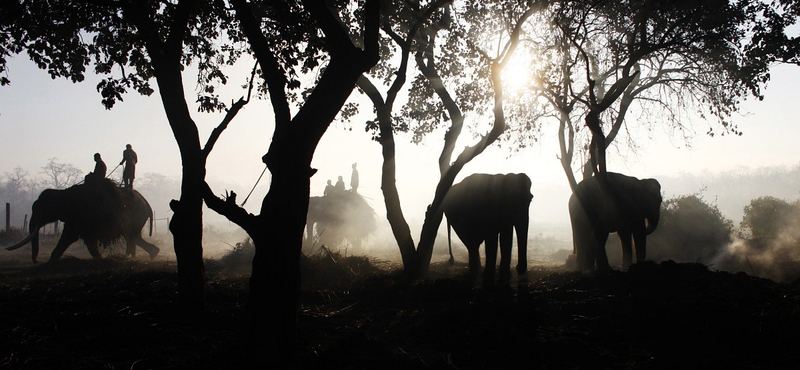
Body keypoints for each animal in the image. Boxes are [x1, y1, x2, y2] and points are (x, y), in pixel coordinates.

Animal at [6, 178, 159, 264]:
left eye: (40, 209)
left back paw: (129, 257)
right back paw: (151, 254)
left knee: (131, 236)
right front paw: (100, 258)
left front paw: (49, 262)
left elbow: (70, 237)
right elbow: (85, 239)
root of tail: (148, 205)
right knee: (134, 237)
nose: (36, 261)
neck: (62, 192)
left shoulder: (78, 215)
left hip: (135, 215)